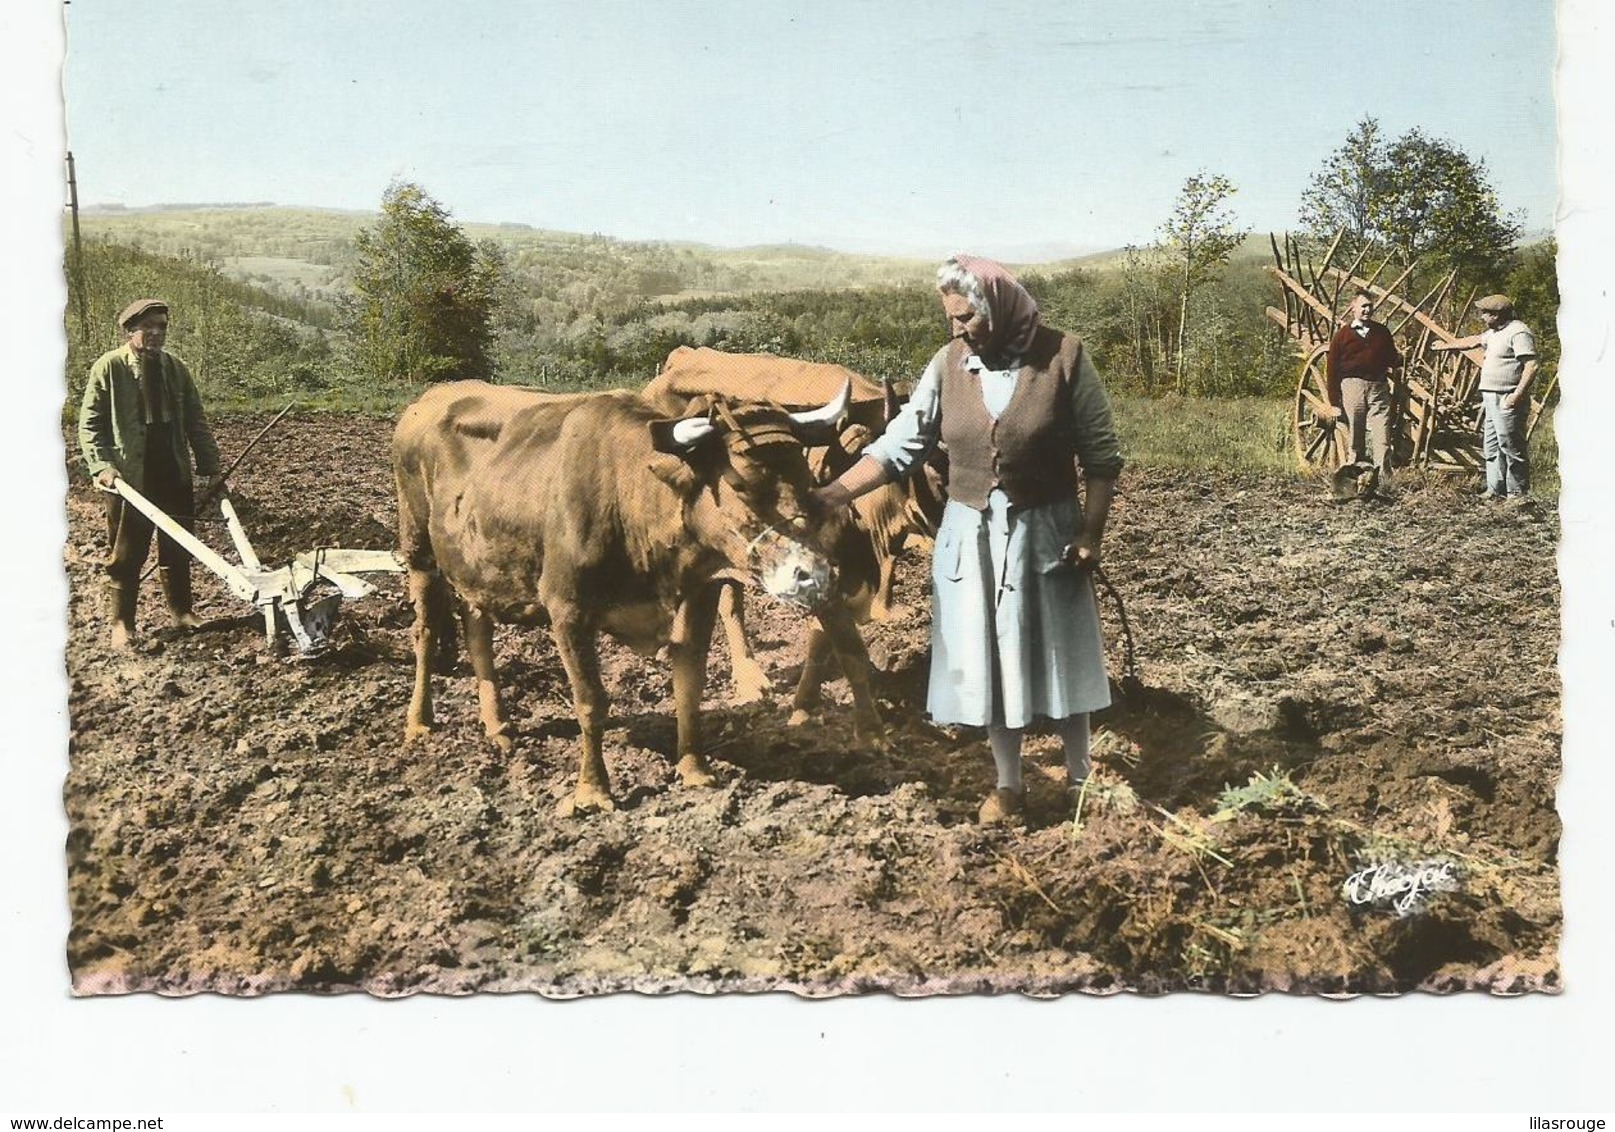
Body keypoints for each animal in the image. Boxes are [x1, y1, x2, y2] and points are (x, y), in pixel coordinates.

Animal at [392, 379, 865, 813]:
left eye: (806, 480)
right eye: (744, 486)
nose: (812, 574)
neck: (632, 500)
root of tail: (432, 396)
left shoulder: (698, 599)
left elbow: (689, 686)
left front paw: (694, 769)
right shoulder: (567, 609)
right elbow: (590, 701)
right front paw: (592, 791)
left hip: (476, 565)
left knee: (478, 632)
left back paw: (497, 724)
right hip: (418, 549)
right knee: (425, 633)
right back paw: (419, 722)